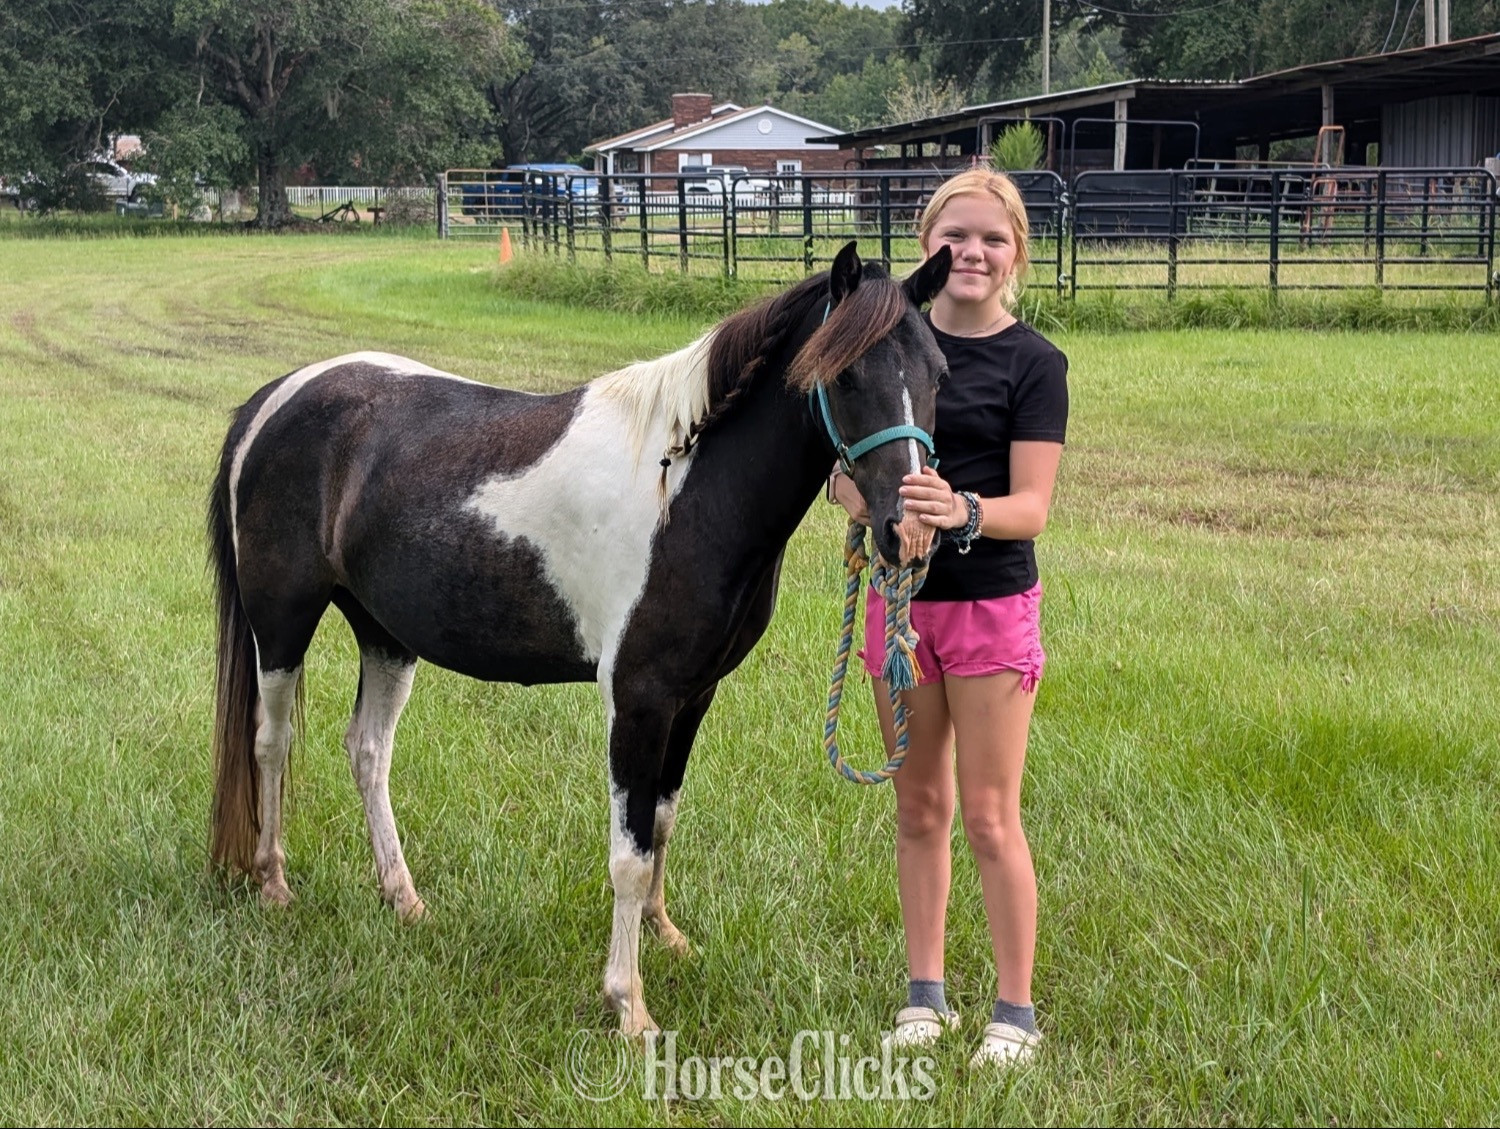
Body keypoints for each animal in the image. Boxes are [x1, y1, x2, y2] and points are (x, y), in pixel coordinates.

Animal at [207, 241, 953, 1036]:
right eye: (844, 374)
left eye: (938, 371)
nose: (910, 533)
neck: (681, 486)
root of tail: (275, 399)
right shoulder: (638, 696)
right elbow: (627, 851)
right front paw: (628, 1004)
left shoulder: (693, 696)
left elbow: (660, 822)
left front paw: (665, 933)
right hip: (282, 621)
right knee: (271, 741)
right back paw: (273, 881)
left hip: (384, 634)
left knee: (369, 751)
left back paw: (402, 897)